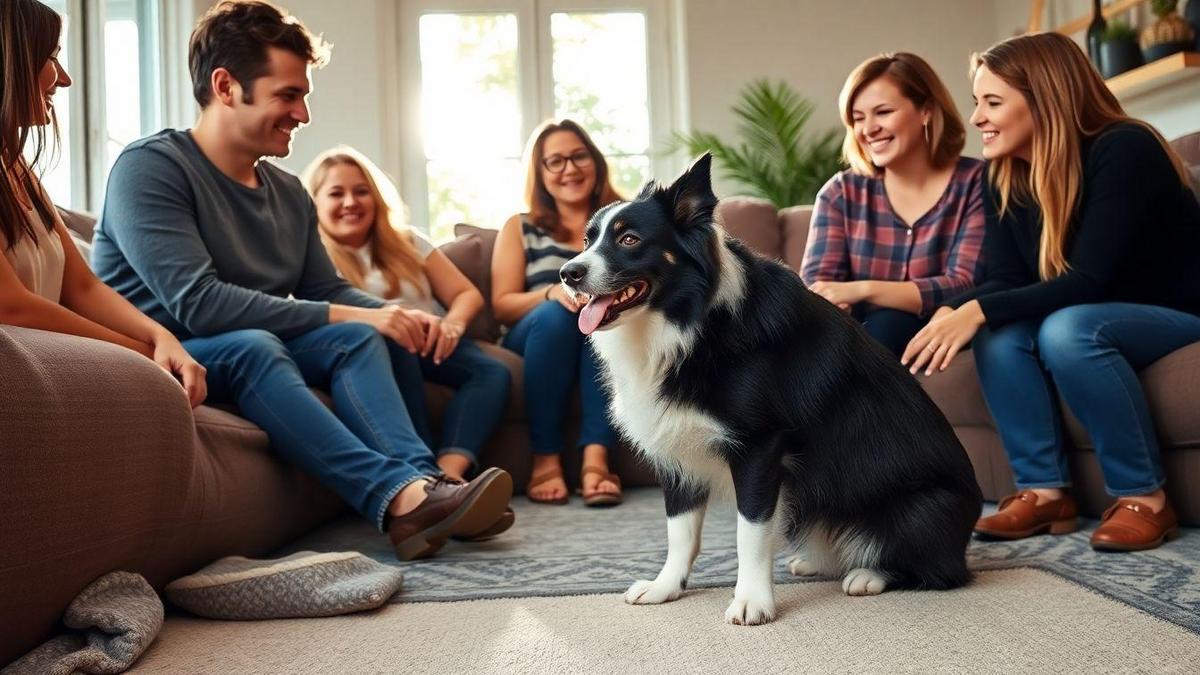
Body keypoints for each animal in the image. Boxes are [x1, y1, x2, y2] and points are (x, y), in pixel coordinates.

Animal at [556, 154, 979, 624]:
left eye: (629, 239)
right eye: (587, 240)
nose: (568, 274)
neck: (691, 324)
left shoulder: (760, 447)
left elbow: (751, 532)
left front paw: (752, 600)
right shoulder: (677, 447)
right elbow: (680, 530)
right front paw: (666, 586)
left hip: (923, 510)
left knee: (942, 571)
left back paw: (870, 574)